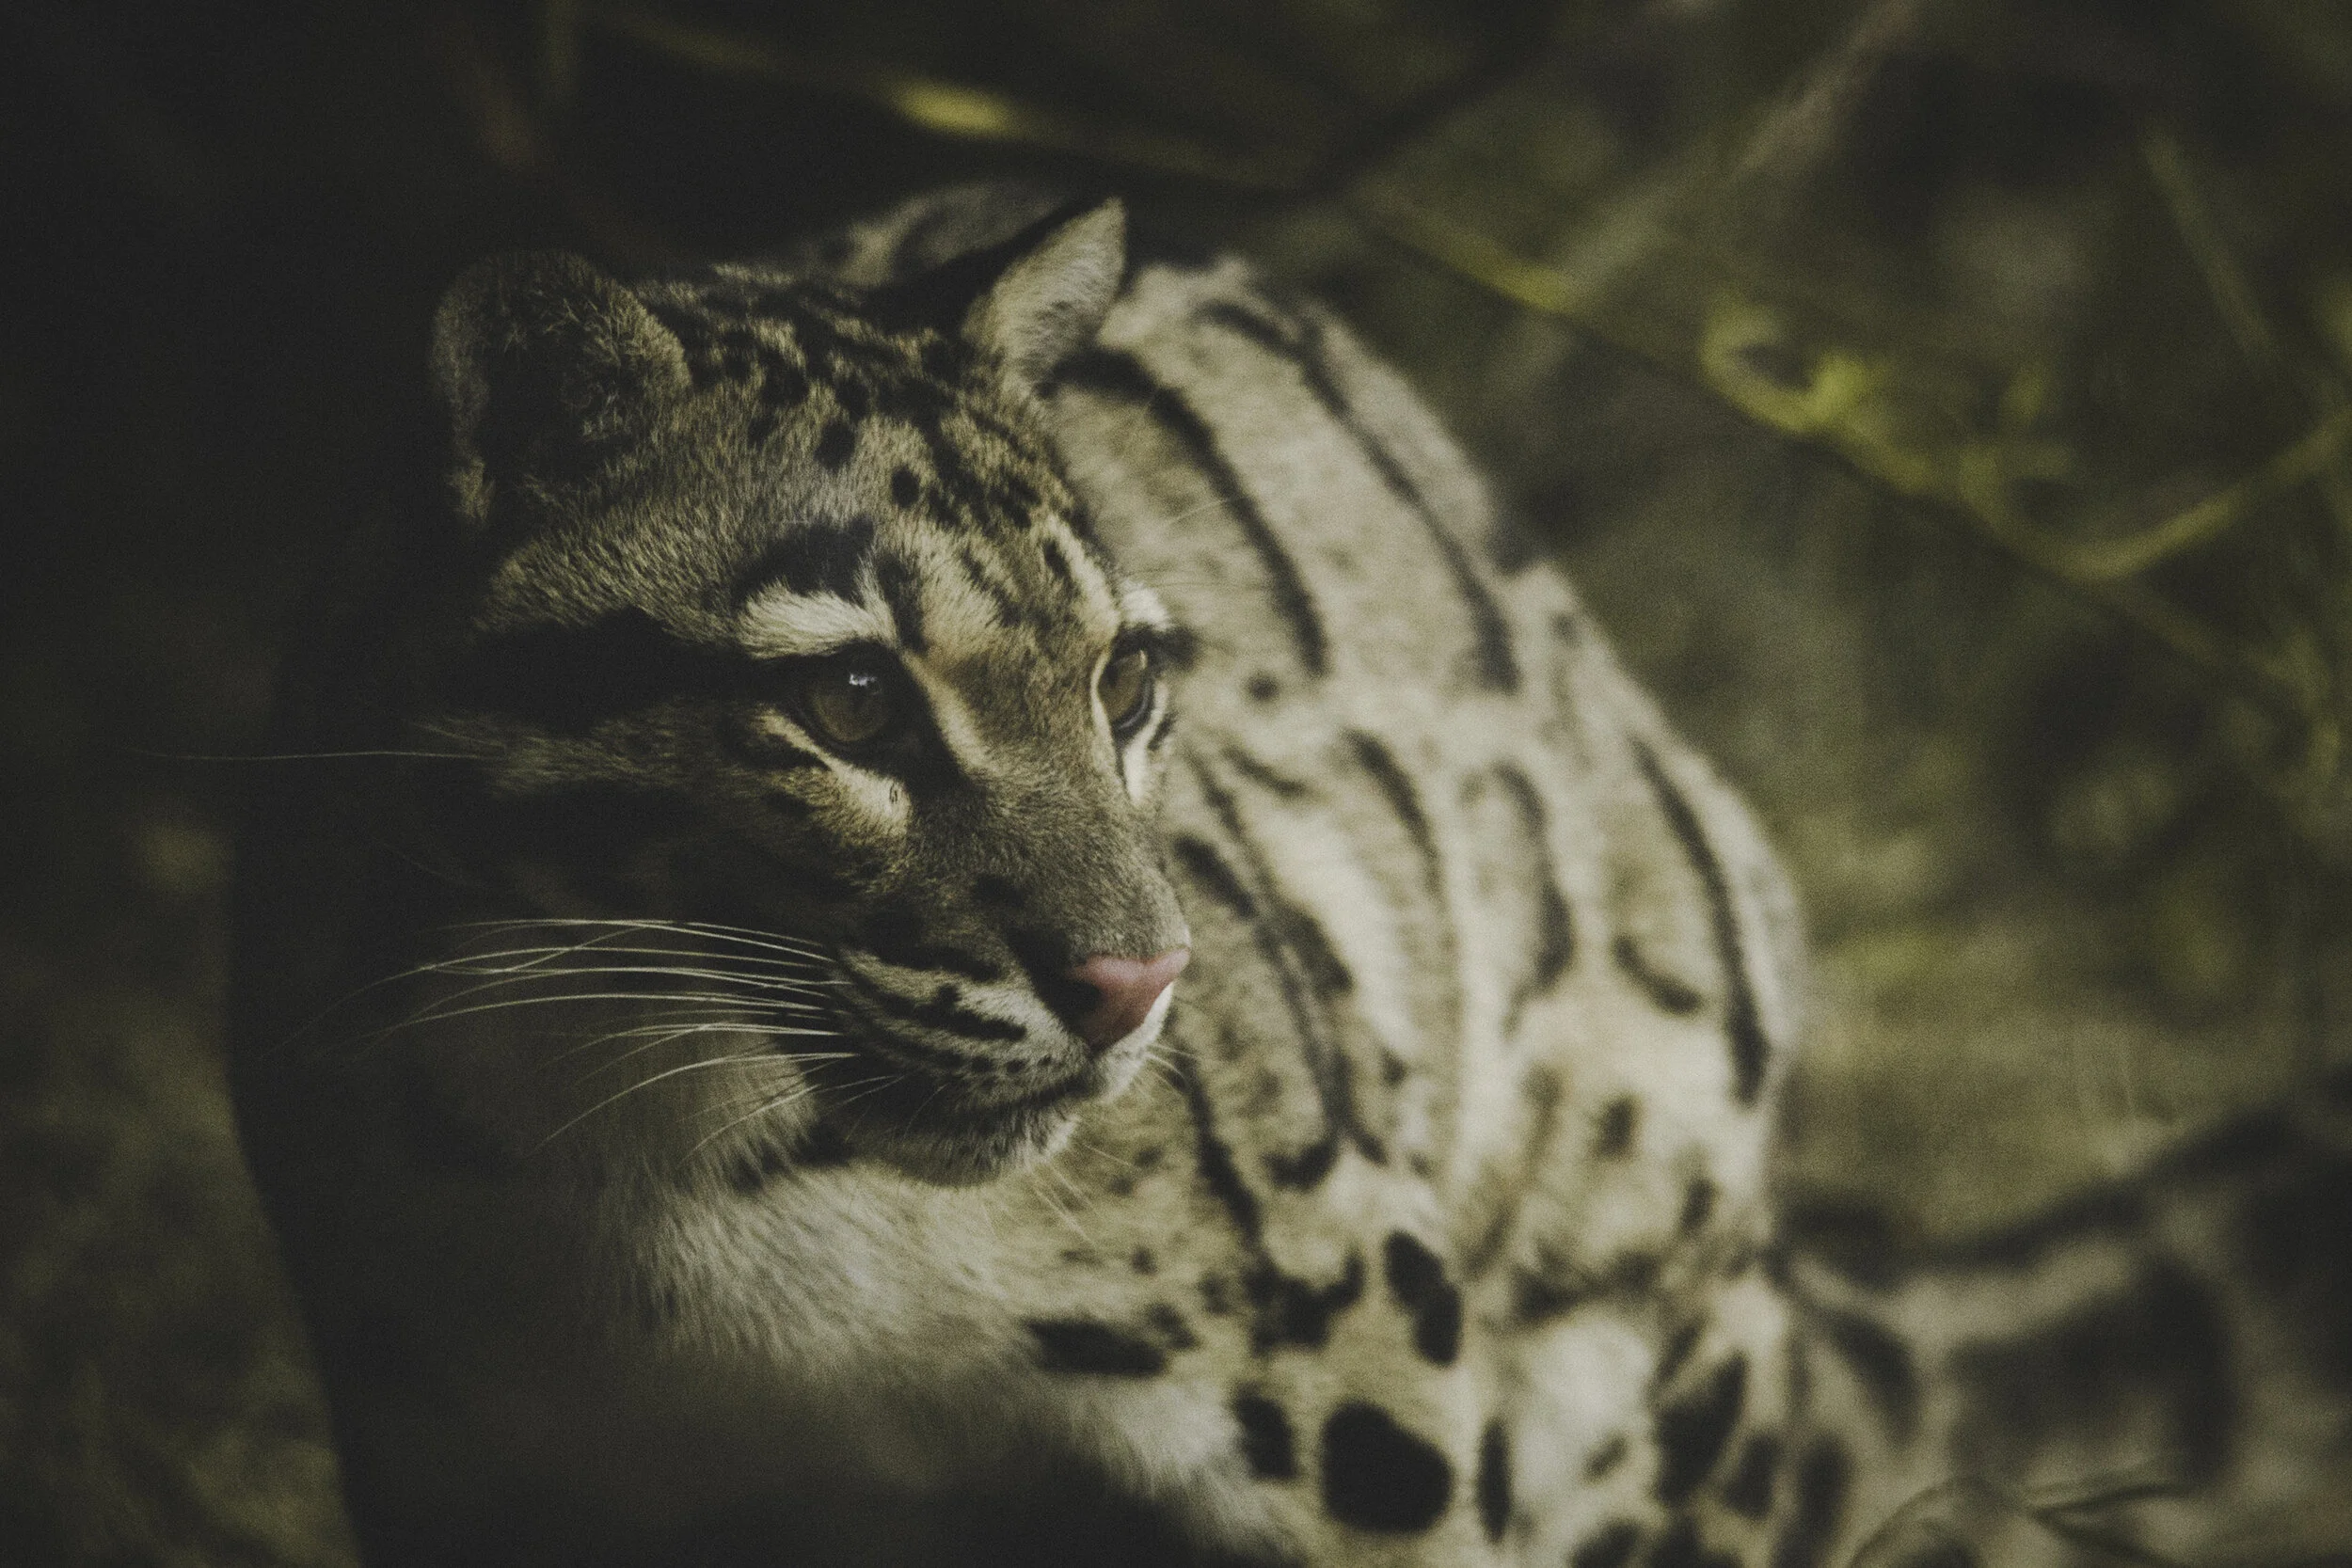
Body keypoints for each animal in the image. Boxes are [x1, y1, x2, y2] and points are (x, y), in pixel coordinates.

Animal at [226, 184, 2352, 1568]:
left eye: (1126, 673)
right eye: (848, 696)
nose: (1135, 982)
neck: (638, 1169)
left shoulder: (1358, 1374)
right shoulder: (469, 1463)